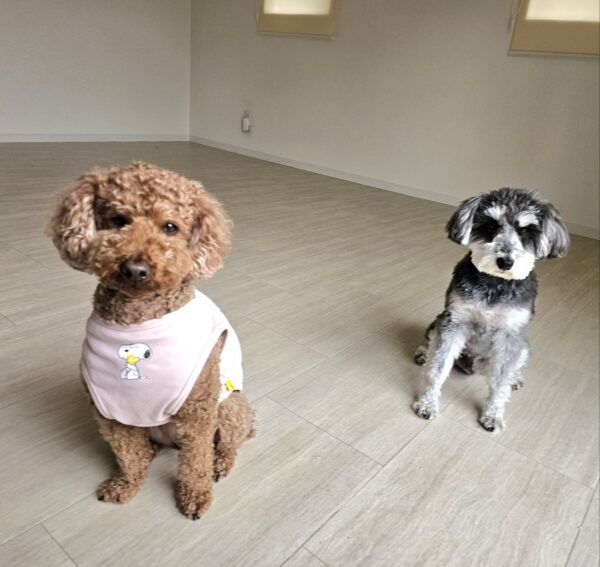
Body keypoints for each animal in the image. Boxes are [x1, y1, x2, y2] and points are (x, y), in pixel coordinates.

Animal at [50, 162, 255, 519]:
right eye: (119, 220)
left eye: (170, 227)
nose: (135, 268)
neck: (140, 317)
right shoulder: (110, 413)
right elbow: (129, 456)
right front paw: (125, 485)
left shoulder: (198, 413)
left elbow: (195, 462)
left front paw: (195, 496)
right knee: (145, 451)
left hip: (229, 408)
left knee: (227, 444)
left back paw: (220, 464)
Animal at [412, 188, 569, 431]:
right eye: (491, 226)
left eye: (526, 231)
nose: (505, 262)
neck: (496, 283)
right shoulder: (453, 323)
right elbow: (438, 368)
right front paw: (428, 403)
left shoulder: (510, 336)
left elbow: (500, 383)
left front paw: (493, 415)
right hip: (438, 321)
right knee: (431, 342)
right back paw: (422, 353)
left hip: (523, 346)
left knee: (512, 368)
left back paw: (517, 378)